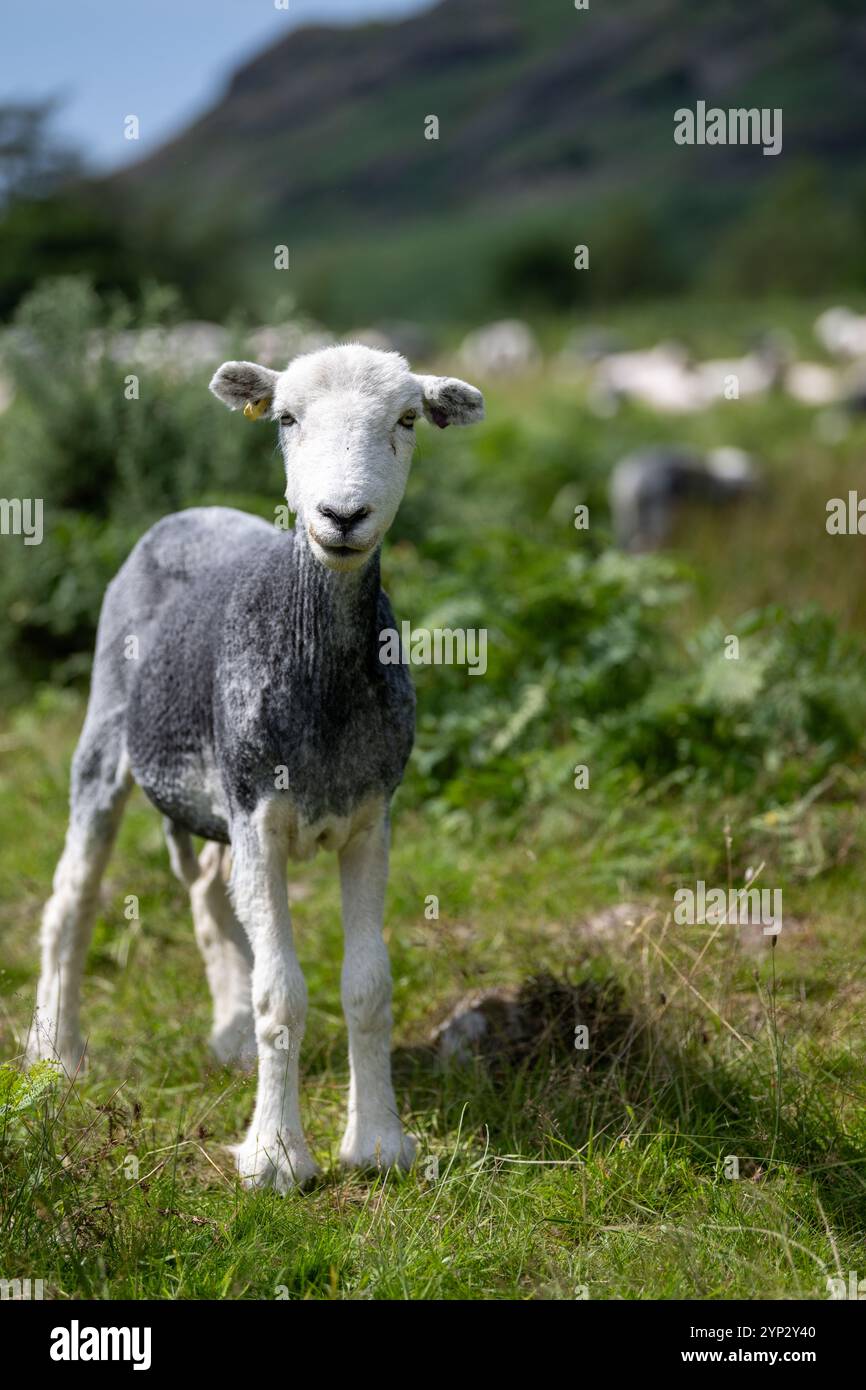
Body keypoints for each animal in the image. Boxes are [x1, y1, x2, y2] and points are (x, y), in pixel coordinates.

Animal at [25, 341, 489, 1189]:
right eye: (287, 419)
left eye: (408, 419)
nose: (343, 516)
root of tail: (190, 512)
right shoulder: (258, 815)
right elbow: (285, 992)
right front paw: (275, 1157)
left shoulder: (371, 818)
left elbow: (367, 987)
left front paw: (379, 1143)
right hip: (108, 730)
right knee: (72, 897)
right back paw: (56, 1053)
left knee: (209, 893)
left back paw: (232, 1034)